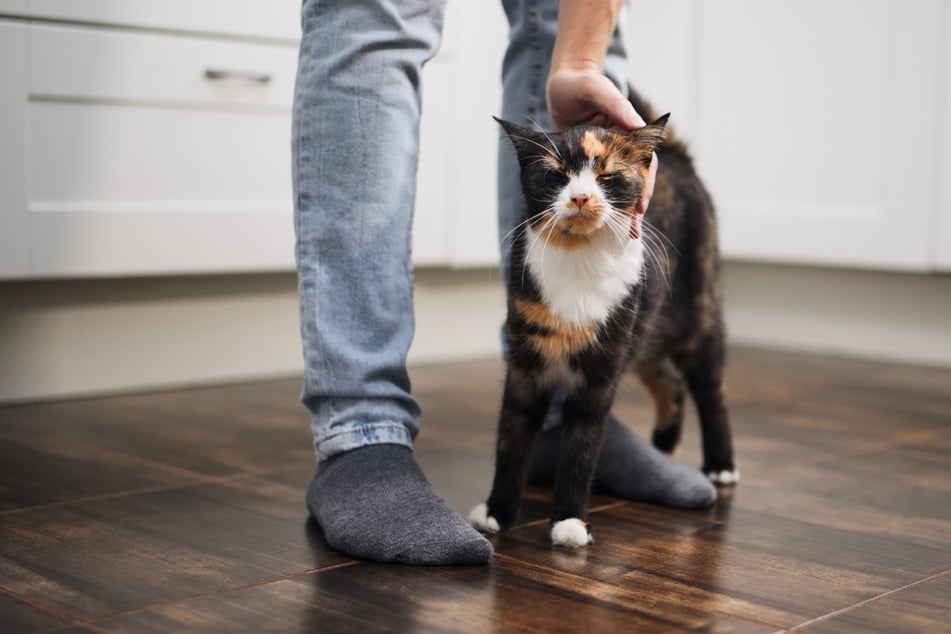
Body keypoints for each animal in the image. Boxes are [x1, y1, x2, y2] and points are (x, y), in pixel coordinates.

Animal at [472, 91, 740, 544]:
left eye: (607, 176)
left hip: (695, 312)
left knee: (711, 387)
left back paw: (721, 464)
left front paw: (569, 521)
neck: (578, 257)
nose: (580, 197)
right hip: (644, 329)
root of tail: (678, 158)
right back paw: (663, 444)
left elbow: (582, 449)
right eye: (557, 175)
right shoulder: (526, 366)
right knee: (669, 381)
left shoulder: (600, 373)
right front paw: (497, 511)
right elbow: (512, 437)